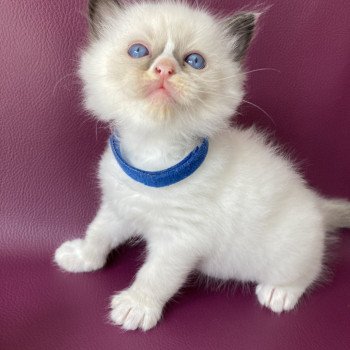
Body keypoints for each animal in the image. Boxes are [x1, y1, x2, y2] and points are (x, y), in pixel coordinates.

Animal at [53, 0, 348, 332]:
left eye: (194, 61)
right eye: (138, 51)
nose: (165, 68)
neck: (153, 157)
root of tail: (316, 204)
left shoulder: (180, 239)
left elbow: (155, 275)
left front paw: (136, 307)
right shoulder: (119, 207)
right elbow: (98, 234)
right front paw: (81, 257)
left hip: (288, 252)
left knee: (308, 271)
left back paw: (278, 293)